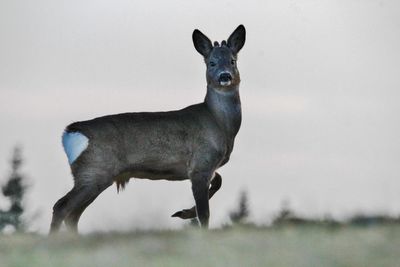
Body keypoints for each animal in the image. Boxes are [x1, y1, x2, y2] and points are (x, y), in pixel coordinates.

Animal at [48, 25, 245, 234]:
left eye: (233, 61)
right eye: (211, 63)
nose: (225, 76)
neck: (220, 125)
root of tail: (70, 132)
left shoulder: (207, 167)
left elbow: (219, 182)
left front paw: (183, 212)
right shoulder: (201, 164)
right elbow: (204, 213)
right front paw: (193, 221)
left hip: (92, 175)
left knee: (73, 215)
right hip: (94, 171)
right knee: (61, 206)